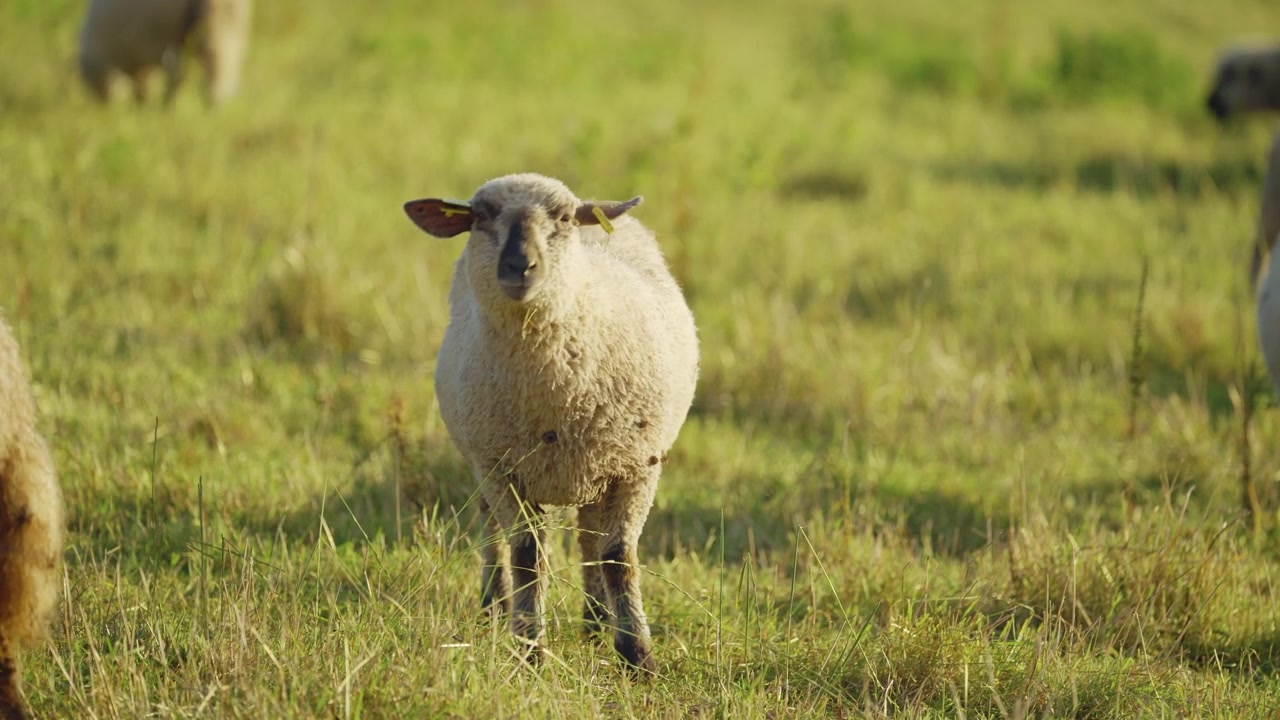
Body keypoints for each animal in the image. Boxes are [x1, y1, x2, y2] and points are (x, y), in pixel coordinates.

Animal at [403, 173, 699, 674]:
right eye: (481, 216)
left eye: (562, 218)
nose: (520, 266)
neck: (555, 395)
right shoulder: (502, 469)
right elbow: (527, 555)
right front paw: (530, 651)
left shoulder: (637, 467)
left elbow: (618, 557)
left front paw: (638, 656)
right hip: (485, 460)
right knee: (492, 529)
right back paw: (495, 604)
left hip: (598, 463)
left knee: (590, 539)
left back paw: (597, 620)